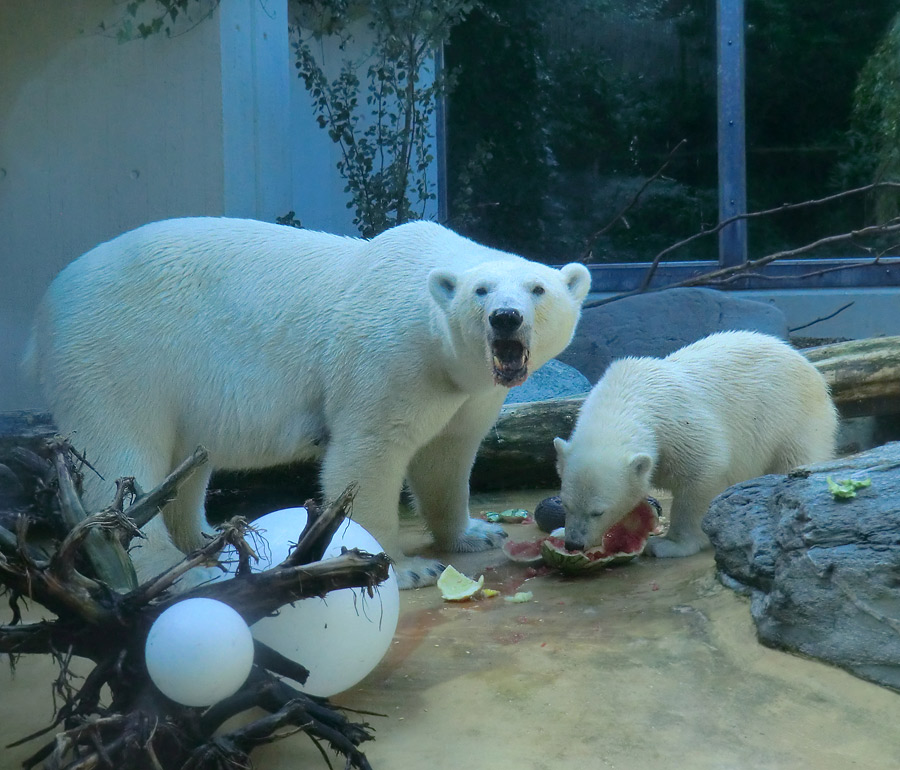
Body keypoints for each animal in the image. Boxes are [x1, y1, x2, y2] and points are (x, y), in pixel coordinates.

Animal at [24, 218, 596, 588]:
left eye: (538, 288)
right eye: (481, 291)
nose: (505, 317)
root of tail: (47, 305)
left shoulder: (464, 388)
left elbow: (446, 457)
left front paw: (474, 533)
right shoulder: (388, 357)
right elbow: (367, 457)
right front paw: (405, 567)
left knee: (184, 461)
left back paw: (207, 541)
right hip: (117, 351)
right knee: (123, 454)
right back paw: (171, 566)